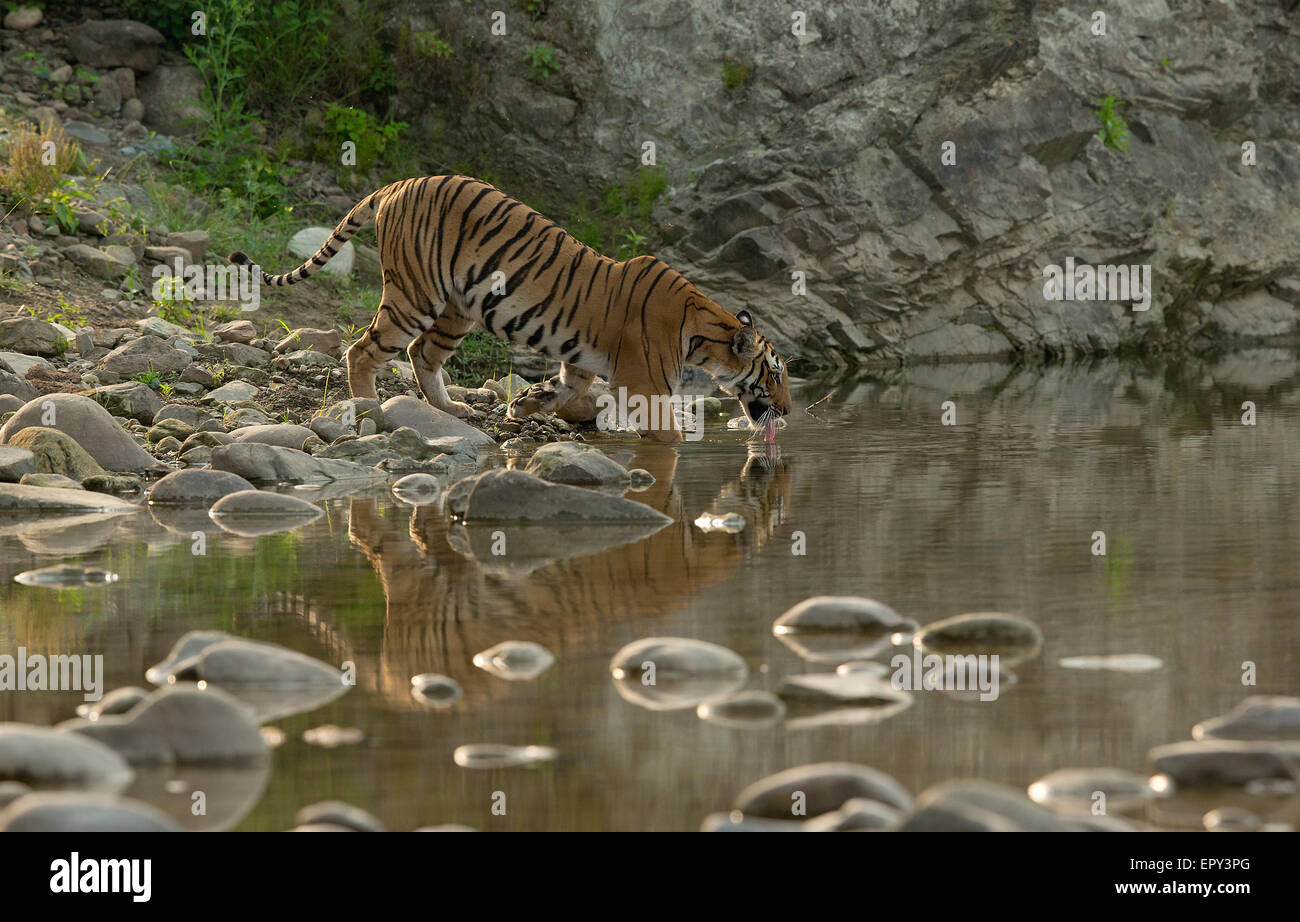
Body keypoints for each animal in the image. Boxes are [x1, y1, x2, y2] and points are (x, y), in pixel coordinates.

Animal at [228, 176, 790, 444]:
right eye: (777, 373)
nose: (787, 411)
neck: (702, 335)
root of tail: (396, 184)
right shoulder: (647, 385)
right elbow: (666, 434)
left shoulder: (581, 361)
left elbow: (567, 387)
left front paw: (524, 404)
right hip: (414, 295)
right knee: (364, 350)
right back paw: (368, 407)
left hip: (459, 308)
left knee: (422, 353)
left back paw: (451, 410)